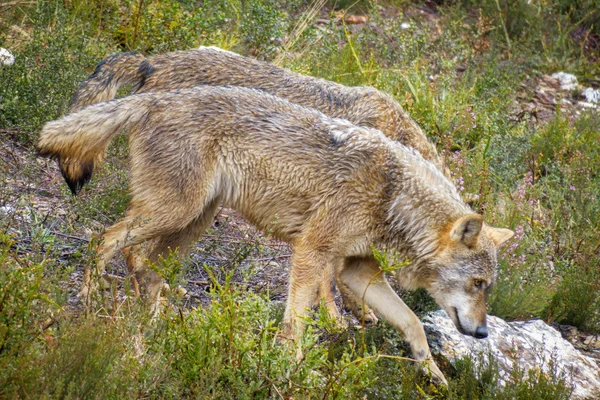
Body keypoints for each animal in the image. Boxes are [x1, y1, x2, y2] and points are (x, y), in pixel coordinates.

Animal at [38, 86, 516, 384]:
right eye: (478, 284)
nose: (481, 334)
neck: (392, 195)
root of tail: (156, 98)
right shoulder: (311, 252)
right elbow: (297, 322)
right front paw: (292, 366)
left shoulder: (356, 272)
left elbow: (413, 323)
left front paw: (433, 374)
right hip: (171, 213)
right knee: (103, 240)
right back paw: (92, 300)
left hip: (192, 220)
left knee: (148, 266)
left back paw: (154, 325)